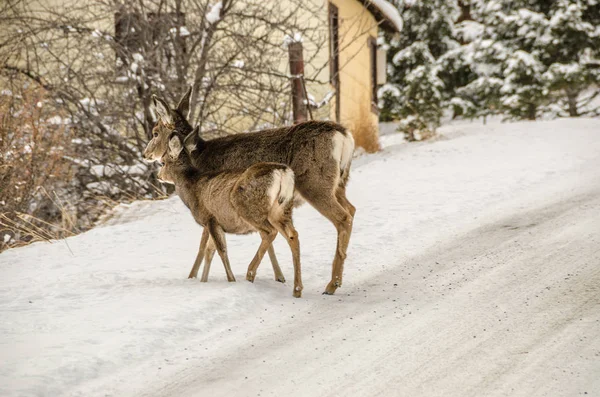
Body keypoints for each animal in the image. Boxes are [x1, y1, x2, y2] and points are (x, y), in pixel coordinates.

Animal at [158, 127, 304, 296]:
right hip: (282, 209)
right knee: (293, 235)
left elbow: (221, 250)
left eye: (162, 162)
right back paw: (297, 289)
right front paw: (203, 282)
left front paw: (231, 280)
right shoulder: (216, 223)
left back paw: (250, 273)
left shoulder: (210, 218)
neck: (192, 189)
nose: (159, 176)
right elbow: (209, 251)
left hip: (248, 206)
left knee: (269, 232)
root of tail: (282, 171)